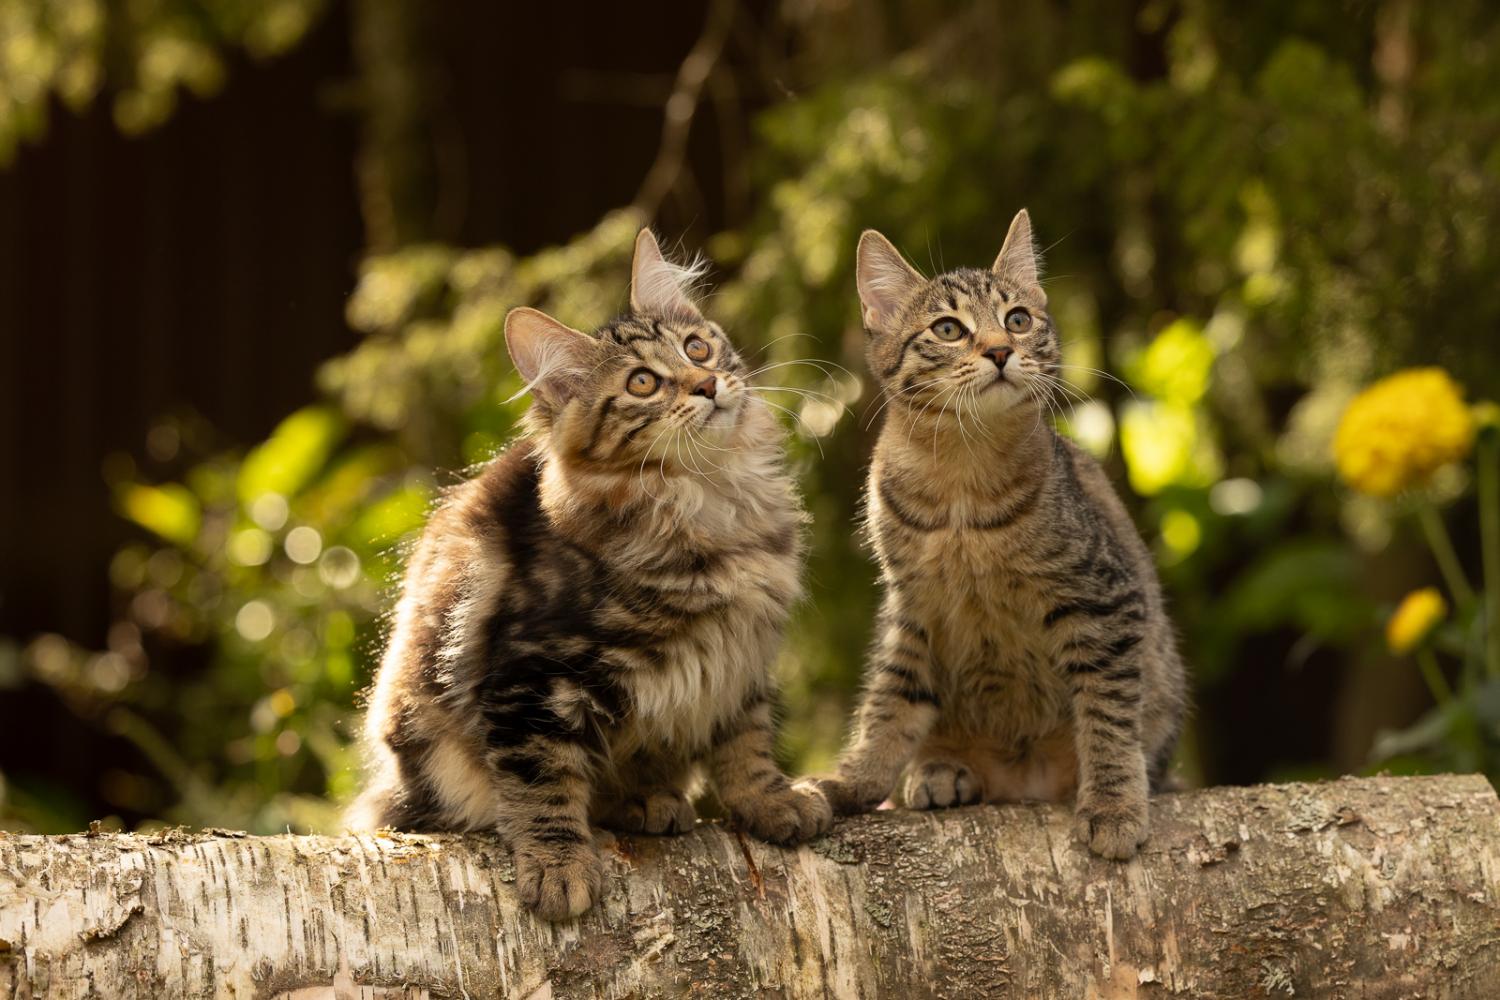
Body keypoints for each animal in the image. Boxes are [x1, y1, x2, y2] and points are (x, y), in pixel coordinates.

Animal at [349, 230, 834, 917]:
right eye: (642, 383)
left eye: (696, 346)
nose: (707, 384)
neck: (710, 499)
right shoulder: (534, 679)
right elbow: (542, 781)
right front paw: (559, 865)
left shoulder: (738, 657)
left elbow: (746, 745)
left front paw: (770, 801)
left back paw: (646, 800)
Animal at [816, 212, 1188, 863]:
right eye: (947, 329)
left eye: (1017, 319)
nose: (999, 350)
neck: (961, 483)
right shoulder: (914, 610)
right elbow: (889, 703)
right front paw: (853, 781)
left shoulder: (1104, 598)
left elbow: (1108, 713)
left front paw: (1113, 802)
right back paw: (942, 768)